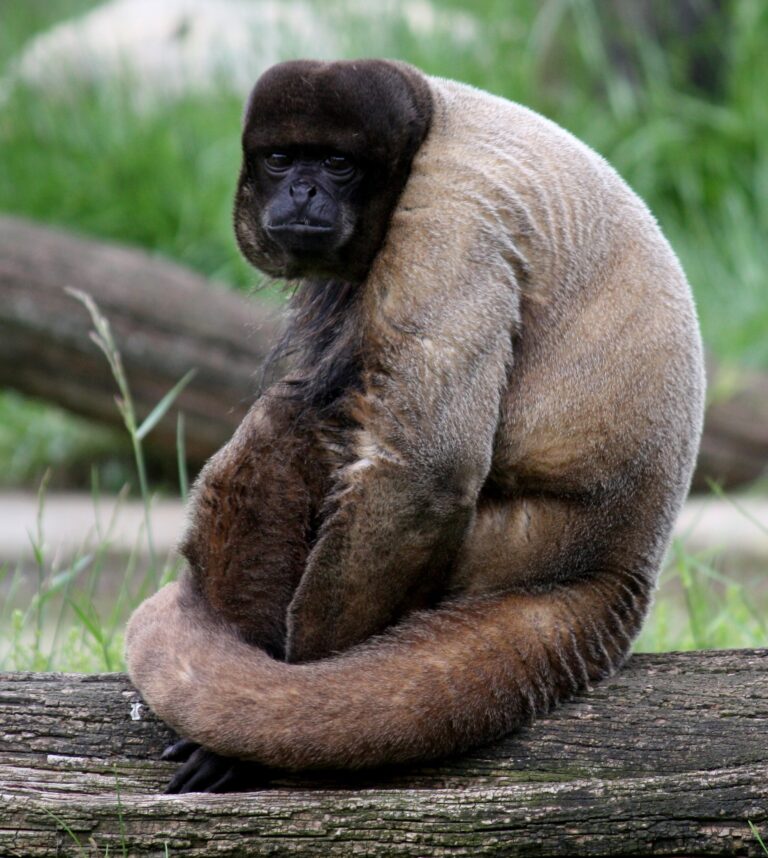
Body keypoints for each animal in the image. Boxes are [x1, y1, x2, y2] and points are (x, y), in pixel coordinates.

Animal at [126, 59, 705, 793]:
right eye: (281, 159)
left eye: (338, 165)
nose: (304, 191)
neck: (429, 119)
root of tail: (619, 571)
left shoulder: (445, 222)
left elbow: (428, 471)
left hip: (504, 545)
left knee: (316, 431)